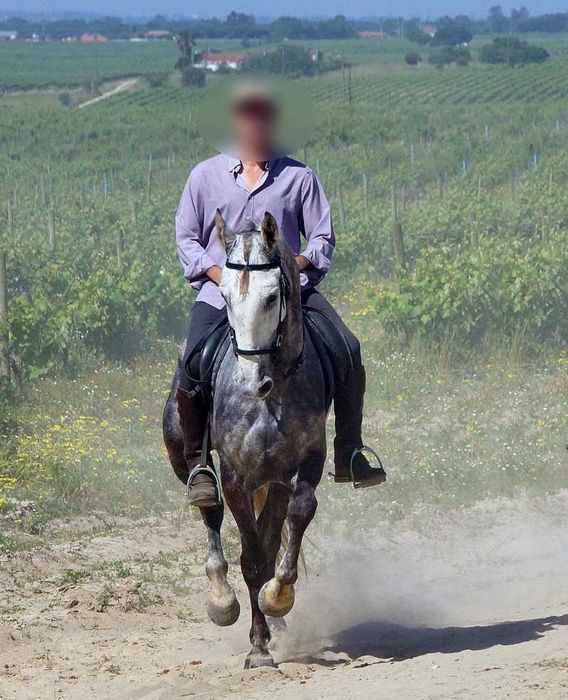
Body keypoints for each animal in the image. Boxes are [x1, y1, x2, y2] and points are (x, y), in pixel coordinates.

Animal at [163, 210, 329, 668]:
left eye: (272, 297)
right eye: (224, 295)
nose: (253, 382)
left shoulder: (301, 463)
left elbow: (293, 520)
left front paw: (278, 597)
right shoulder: (237, 475)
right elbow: (251, 559)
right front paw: (257, 647)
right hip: (192, 462)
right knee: (210, 511)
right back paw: (222, 599)